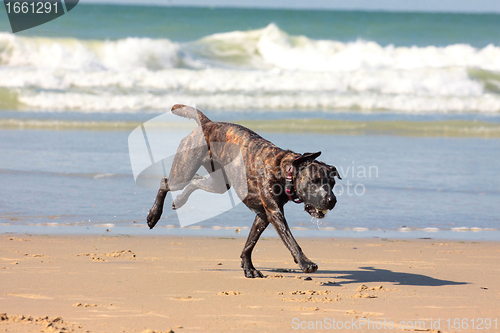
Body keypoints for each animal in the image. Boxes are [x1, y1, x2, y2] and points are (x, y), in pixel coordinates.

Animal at [146, 104, 340, 278]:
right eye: (314, 181)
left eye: (332, 183)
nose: (332, 200)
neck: (285, 170)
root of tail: (207, 123)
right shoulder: (274, 212)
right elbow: (290, 240)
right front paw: (305, 262)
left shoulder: (263, 215)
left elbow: (250, 243)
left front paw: (248, 267)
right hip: (184, 169)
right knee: (165, 182)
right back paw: (154, 214)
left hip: (219, 184)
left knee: (196, 181)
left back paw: (180, 200)